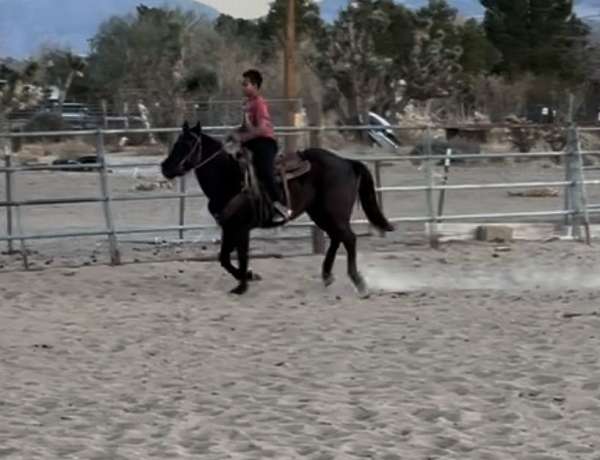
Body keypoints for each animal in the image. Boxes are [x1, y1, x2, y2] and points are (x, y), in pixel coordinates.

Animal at [162, 121, 394, 294]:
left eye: (186, 144)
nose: (165, 168)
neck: (229, 177)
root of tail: (347, 162)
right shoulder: (229, 227)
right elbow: (224, 259)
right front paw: (250, 276)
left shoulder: (241, 228)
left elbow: (241, 256)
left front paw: (243, 285)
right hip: (320, 213)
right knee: (338, 238)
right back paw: (327, 276)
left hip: (333, 212)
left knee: (349, 239)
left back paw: (359, 283)